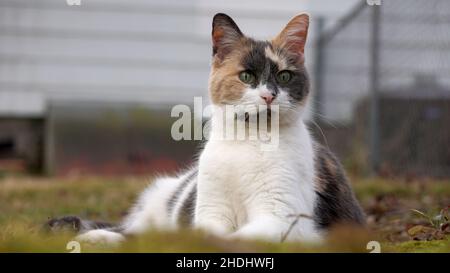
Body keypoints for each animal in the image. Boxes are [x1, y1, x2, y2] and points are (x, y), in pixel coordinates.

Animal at [47, 12, 364, 243]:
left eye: (285, 76)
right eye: (247, 76)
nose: (269, 96)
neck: (247, 142)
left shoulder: (282, 220)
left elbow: (231, 239)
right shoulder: (211, 213)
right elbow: (201, 233)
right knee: (135, 232)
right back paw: (95, 237)